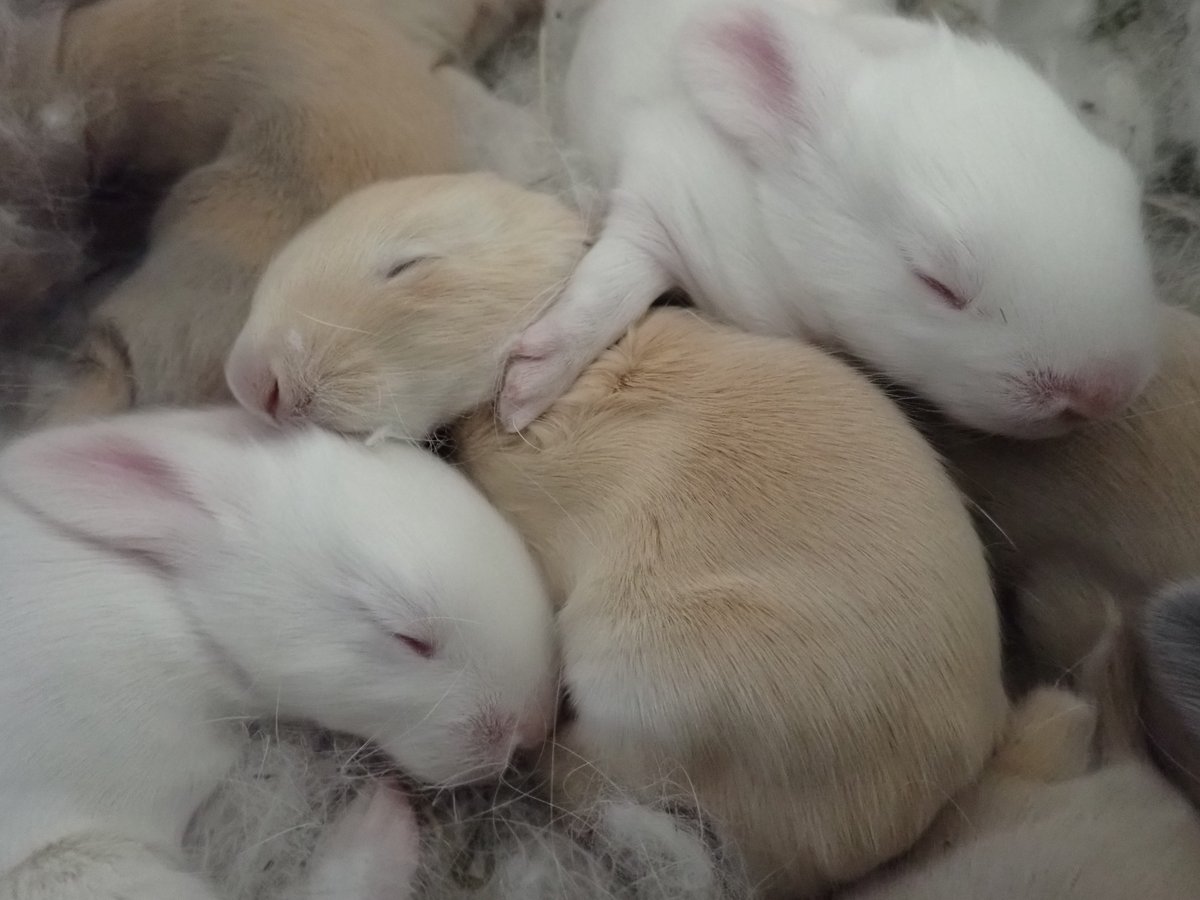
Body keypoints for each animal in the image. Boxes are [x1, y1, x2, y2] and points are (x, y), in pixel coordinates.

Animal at [494, 0, 1163, 440]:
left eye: (1126, 195)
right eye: (936, 283)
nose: (1104, 395)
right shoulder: (661, 199)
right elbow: (607, 288)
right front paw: (523, 393)